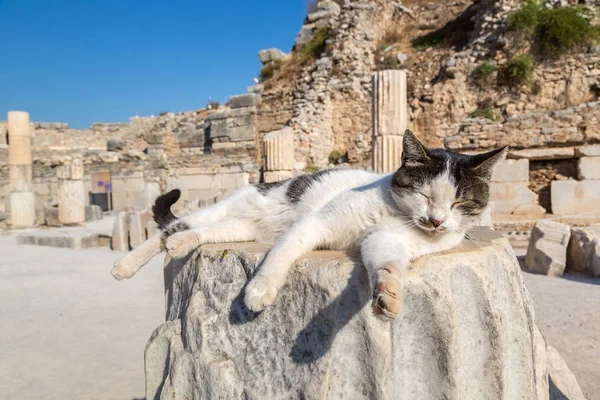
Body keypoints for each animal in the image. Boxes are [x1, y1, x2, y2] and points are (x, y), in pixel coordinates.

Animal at [110, 130, 504, 320]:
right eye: (424, 194)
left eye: (459, 203)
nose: (436, 221)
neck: (398, 216)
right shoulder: (316, 223)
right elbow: (280, 256)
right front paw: (259, 291)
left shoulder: (387, 242)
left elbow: (386, 264)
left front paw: (388, 295)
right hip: (220, 209)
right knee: (167, 230)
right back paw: (125, 265)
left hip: (240, 229)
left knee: (199, 234)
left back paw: (182, 244)